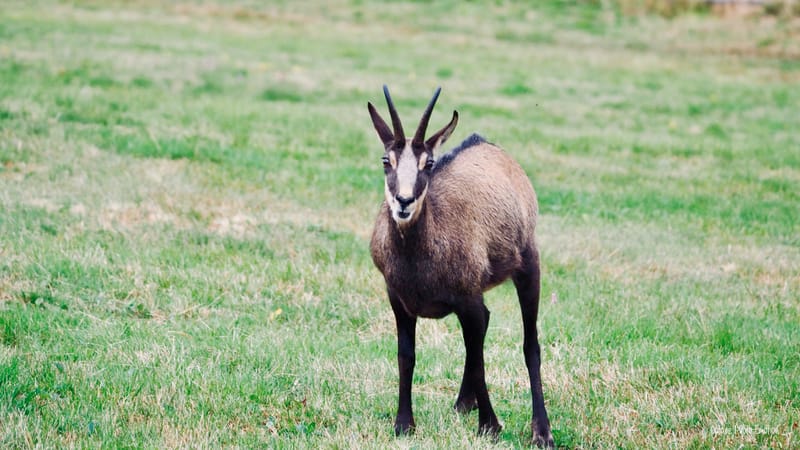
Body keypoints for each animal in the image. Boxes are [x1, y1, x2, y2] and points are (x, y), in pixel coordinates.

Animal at [367, 86, 553, 447]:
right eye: (386, 161)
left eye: (429, 162)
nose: (404, 202)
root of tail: (487, 145)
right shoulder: (398, 299)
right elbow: (406, 356)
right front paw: (403, 424)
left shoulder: (467, 298)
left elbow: (479, 358)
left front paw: (490, 426)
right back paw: (464, 403)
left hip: (528, 262)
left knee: (530, 344)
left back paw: (541, 431)